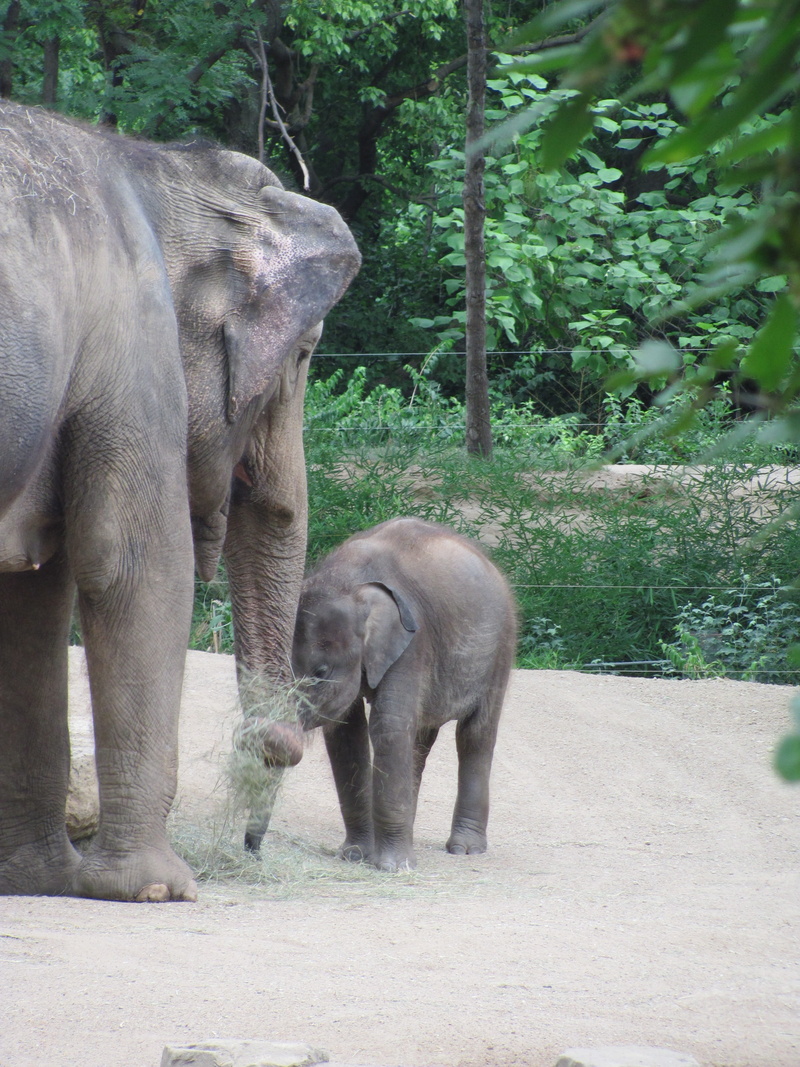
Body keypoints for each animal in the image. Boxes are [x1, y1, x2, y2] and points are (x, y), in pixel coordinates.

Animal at [0, 101, 360, 902]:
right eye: (304, 354)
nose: (276, 740)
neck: (155, 163)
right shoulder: (133, 342)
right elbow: (136, 566)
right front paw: (158, 889)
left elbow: (33, 600)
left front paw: (39, 879)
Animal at [291, 517, 517, 872]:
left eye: (321, 671)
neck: (349, 581)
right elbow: (345, 733)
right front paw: (355, 855)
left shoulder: (413, 641)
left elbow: (389, 727)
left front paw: (394, 868)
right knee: (420, 739)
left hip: (501, 645)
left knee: (475, 735)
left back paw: (465, 850)